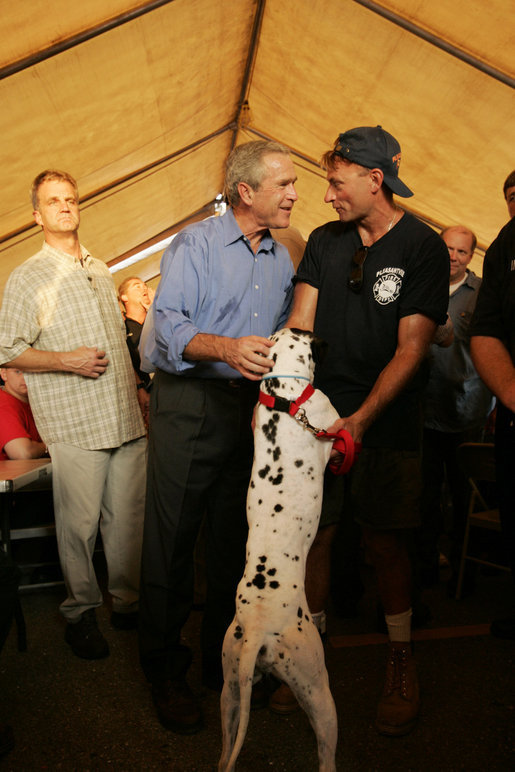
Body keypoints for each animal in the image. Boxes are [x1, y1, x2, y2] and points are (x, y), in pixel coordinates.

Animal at [218, 328, 346, 772]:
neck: (285, 393)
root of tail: (259, 629)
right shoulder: (331, 422)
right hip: (318, 689)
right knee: (326, 754)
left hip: (230, 690)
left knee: (224, 753)